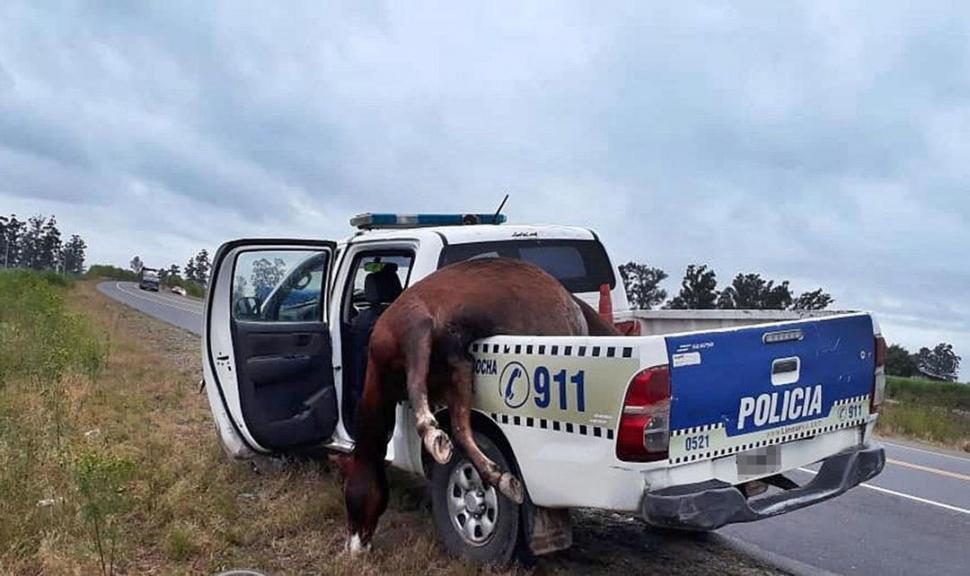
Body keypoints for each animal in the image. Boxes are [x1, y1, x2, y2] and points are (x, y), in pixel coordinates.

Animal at [340, 258, 612, 552]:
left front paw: (435, 437)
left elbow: (419, 388)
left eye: (348, 495)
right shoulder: (459, 367)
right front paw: (499, 477)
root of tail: (573, 302)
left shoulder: (414, 326)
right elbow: (460, 429)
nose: (353, 546)